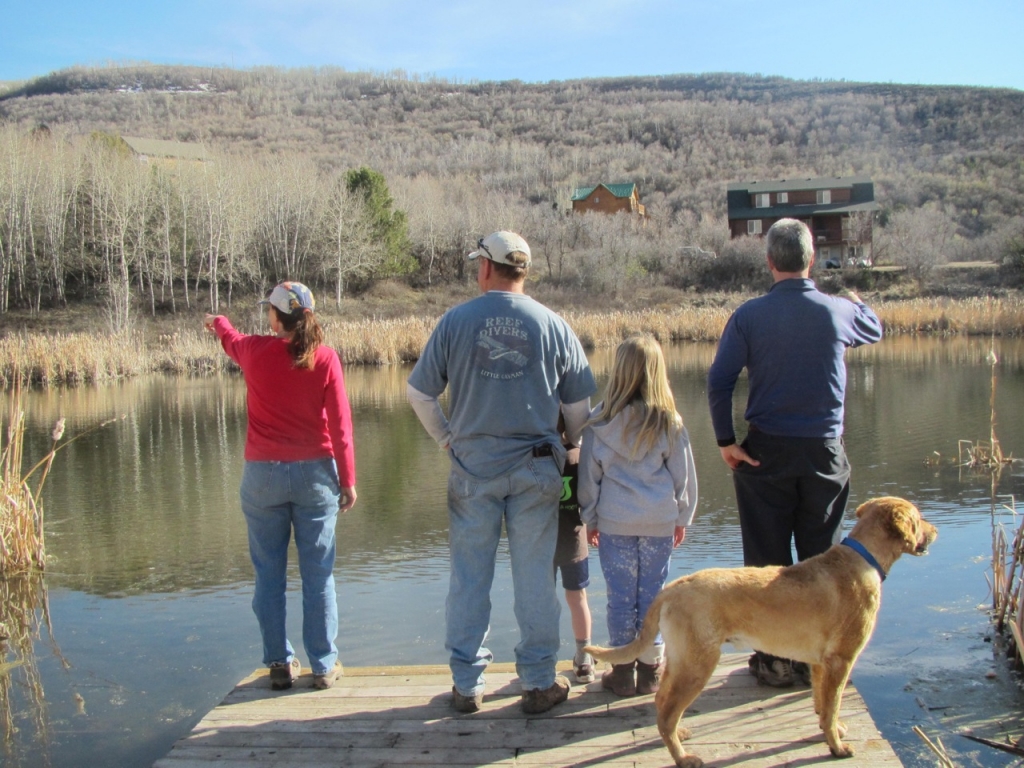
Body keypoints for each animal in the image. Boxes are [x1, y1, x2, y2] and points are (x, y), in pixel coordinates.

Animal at [585, 499, 937, 768]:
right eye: (919, 518)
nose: (935, 531)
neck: (863, 558)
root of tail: (672, 588)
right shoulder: (841, 661)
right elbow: (833, 704)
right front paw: (836, 748)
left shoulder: (820, 664)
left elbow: (823, 705)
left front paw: (830, 731)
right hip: (698, 665)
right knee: (668, 713)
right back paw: (684, 758)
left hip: (682, 659)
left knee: (663, 705)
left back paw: (681, 737)